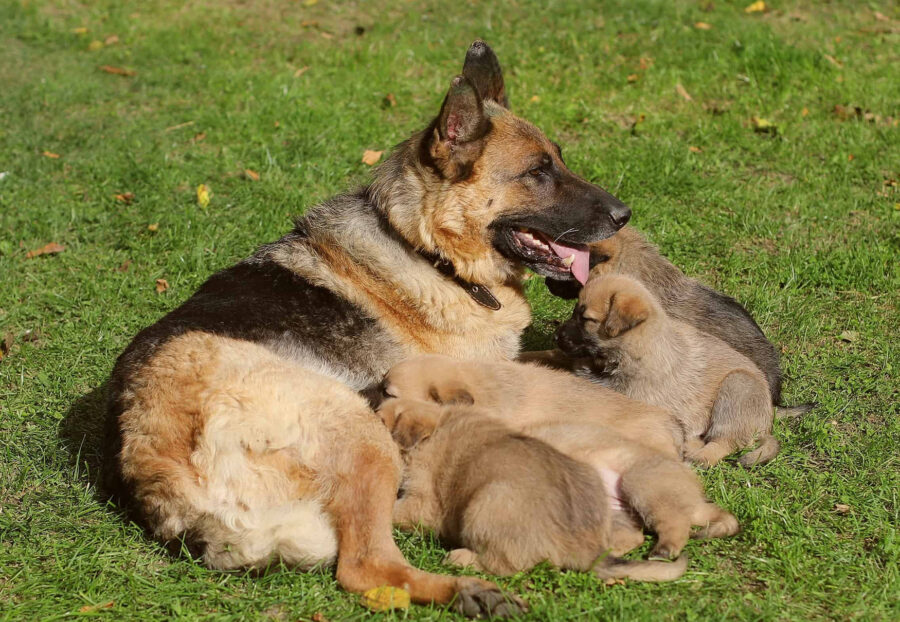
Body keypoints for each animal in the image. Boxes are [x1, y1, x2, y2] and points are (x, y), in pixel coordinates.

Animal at [376, 398, 684, 584]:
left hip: (487, 503)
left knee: (507, 564)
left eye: (379, 418)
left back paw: (461, 558)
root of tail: (585, 549)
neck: (437, 427)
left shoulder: (422, 502)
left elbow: (393, 510)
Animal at [556, 276, 780, 468]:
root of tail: (768, 418)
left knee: (726, 440)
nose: (556, 336)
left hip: (739, 386)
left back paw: (700, 457)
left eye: (586, 319)